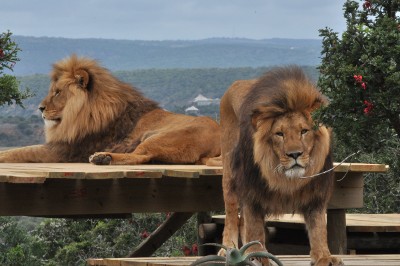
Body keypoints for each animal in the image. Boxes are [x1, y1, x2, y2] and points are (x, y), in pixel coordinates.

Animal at [0, 55, 222, 165]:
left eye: (57, 92)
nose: (40, 108)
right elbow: (16, 150)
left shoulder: (66, 150)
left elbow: (20, 151)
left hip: (159, 137)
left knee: (139, 157)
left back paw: (102, 158)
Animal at [219, 65, 344, 264]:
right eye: (279, 134)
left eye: (304, 131)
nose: (294, 154)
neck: (284, 178)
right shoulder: (252, 191)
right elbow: (255, 228)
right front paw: (257, 256)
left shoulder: (316, 193)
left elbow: (318, 228)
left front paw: (324, 257)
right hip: (230, 174)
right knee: (231, 213)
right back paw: (229, 251)